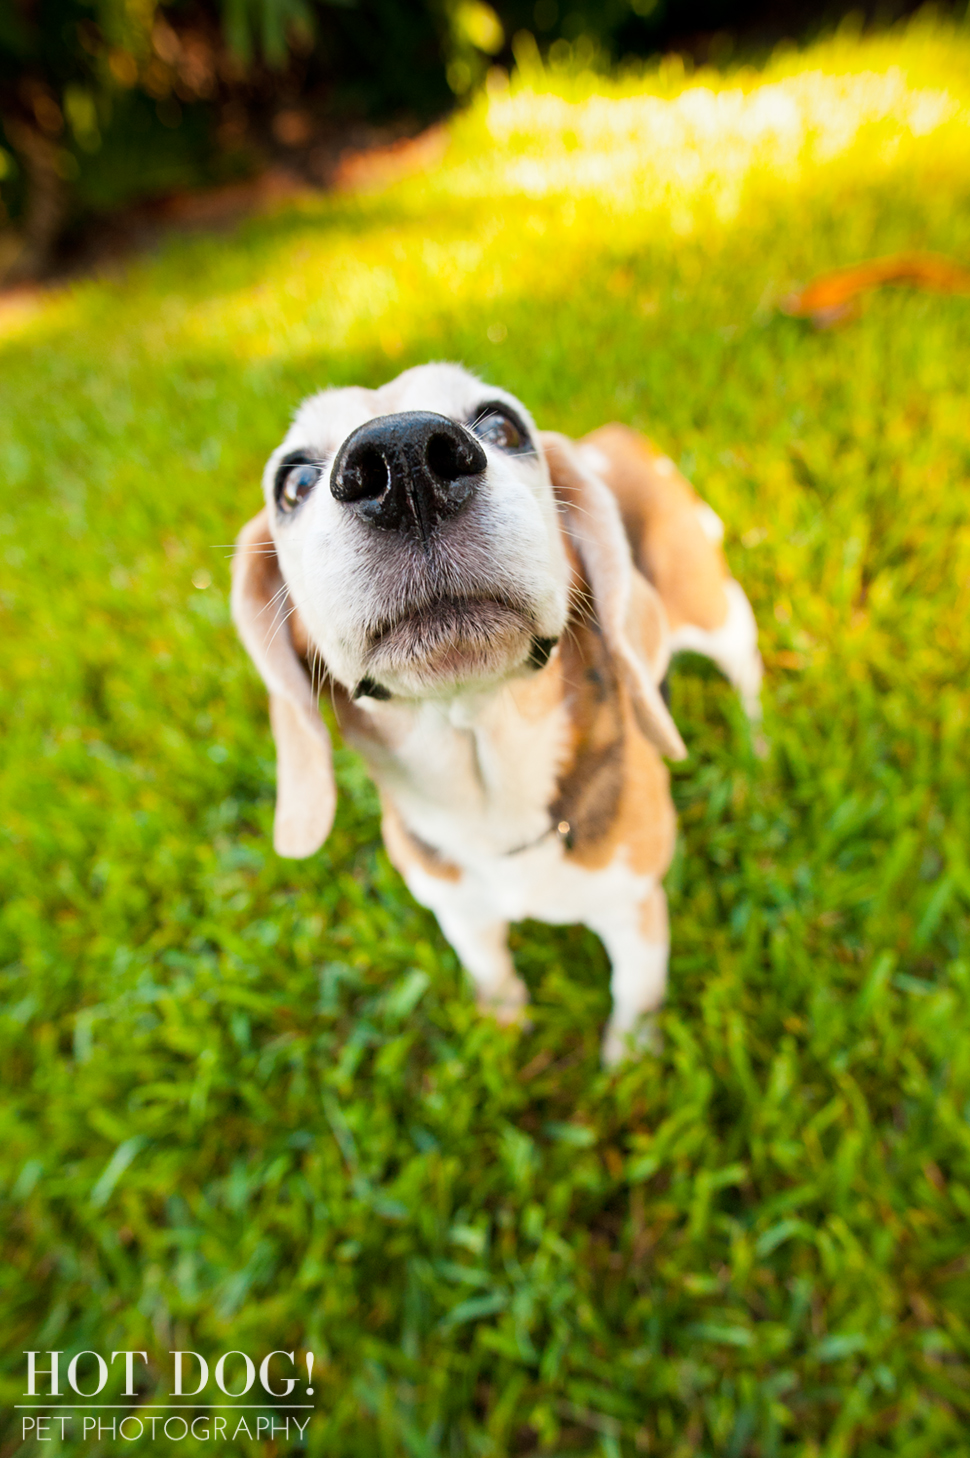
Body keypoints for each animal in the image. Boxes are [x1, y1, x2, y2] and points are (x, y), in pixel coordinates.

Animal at [230, 361, 758, 1061]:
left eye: (502, 426)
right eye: (294, 482)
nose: (403, 457)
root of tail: (611, 436)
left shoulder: (635, 909)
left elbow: (635, 993)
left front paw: (629, 1061)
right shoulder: (460, 913)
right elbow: (492, 970)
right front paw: (502, 1031)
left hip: (711, 611)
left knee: (748, 668)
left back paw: (759, 750)